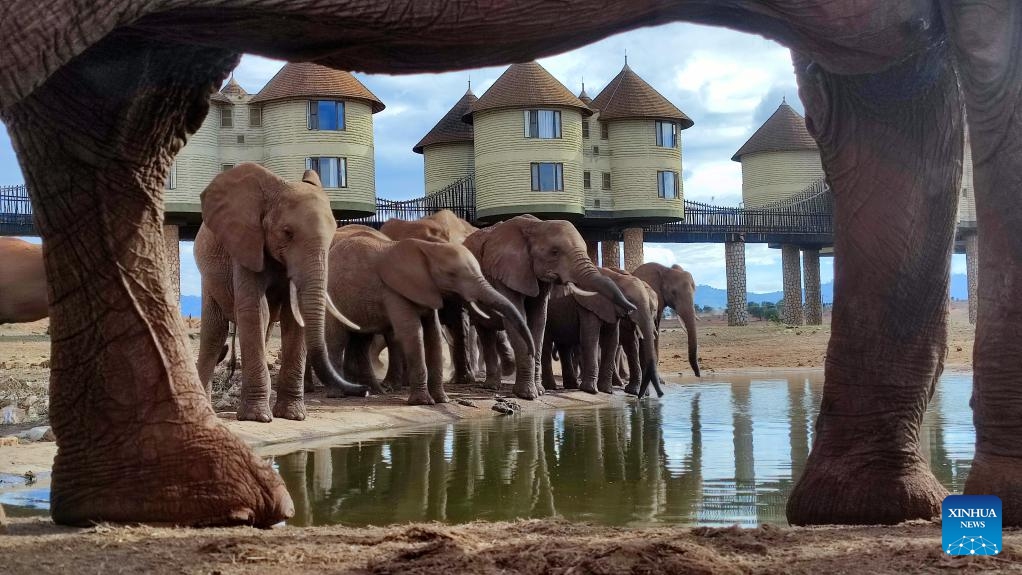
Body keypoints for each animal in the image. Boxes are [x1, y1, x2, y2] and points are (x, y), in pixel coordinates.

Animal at [194, 163, 367, 423]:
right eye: (287, 233)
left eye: (332, 236)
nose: (364, 390)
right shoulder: (246, 243)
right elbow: (254, 309)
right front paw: (257, 418)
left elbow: (293, 315)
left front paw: (293, 416)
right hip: (209, 278)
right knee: (215, 334)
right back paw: (208, 412)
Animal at [326, 229, 533, 405]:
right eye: (451, 274)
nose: (531, 351)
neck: (429, 249)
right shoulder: (394, 291)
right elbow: (411, 331)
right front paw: (422, 402)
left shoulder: (428, 289)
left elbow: (433, 333)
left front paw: (442, 400)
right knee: (337, 339)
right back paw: (338, 394)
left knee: (361, 341)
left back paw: (374, 391)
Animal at [464, 215, 636, 400]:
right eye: (554, 252)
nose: (632, 308)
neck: (536, 225)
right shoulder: (505, 272)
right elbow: (518, 319)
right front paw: (527, 394)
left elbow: (539, 320)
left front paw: (538, 391)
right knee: (485, 332)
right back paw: (492, 386)